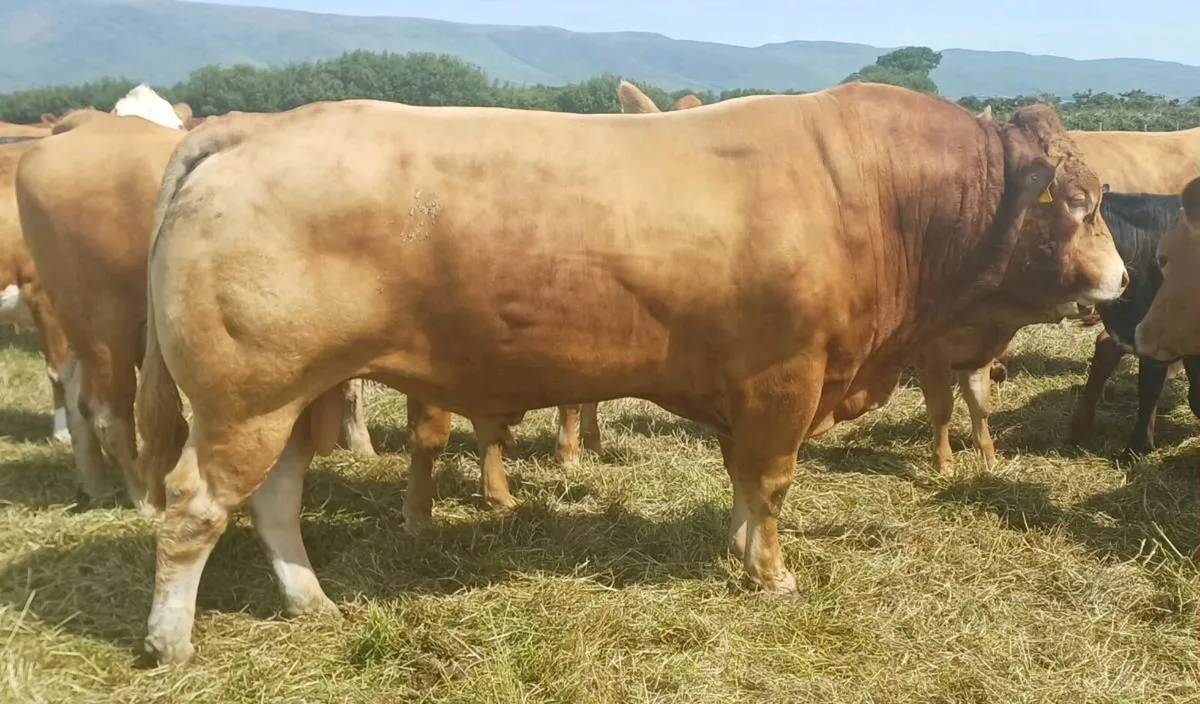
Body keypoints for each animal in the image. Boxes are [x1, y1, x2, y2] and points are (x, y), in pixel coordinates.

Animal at [133, 84, 1126, 664]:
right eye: (1079, 205)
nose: (1119, 282)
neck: (871, 194)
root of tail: (252, 128)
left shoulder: (749, 392)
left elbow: (744, 481)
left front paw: (740, 551)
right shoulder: (786, 381)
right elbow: (773, 483)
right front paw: (773, 576)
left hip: (293, 394)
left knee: (273, 499)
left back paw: (312, 604)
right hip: (244, 399)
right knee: (194, 506)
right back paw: (170, 642)